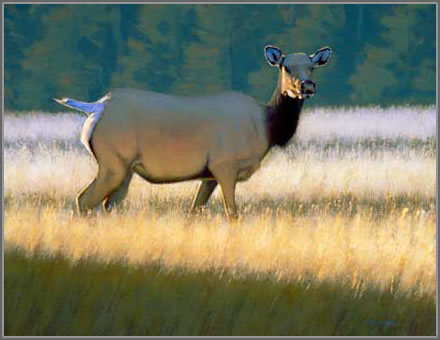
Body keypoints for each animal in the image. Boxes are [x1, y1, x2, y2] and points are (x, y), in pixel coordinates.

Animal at [54, 45, 330, 219]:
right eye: (286, 67)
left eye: (312, 67)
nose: (307, 86)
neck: (267, 129)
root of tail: (96, 107)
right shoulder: (224, 165)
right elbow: (233, 214)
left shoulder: (209, 175)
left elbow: (194, 210)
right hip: (113, 161)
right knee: (84, 200)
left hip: (125, 168)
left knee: (108, 205)